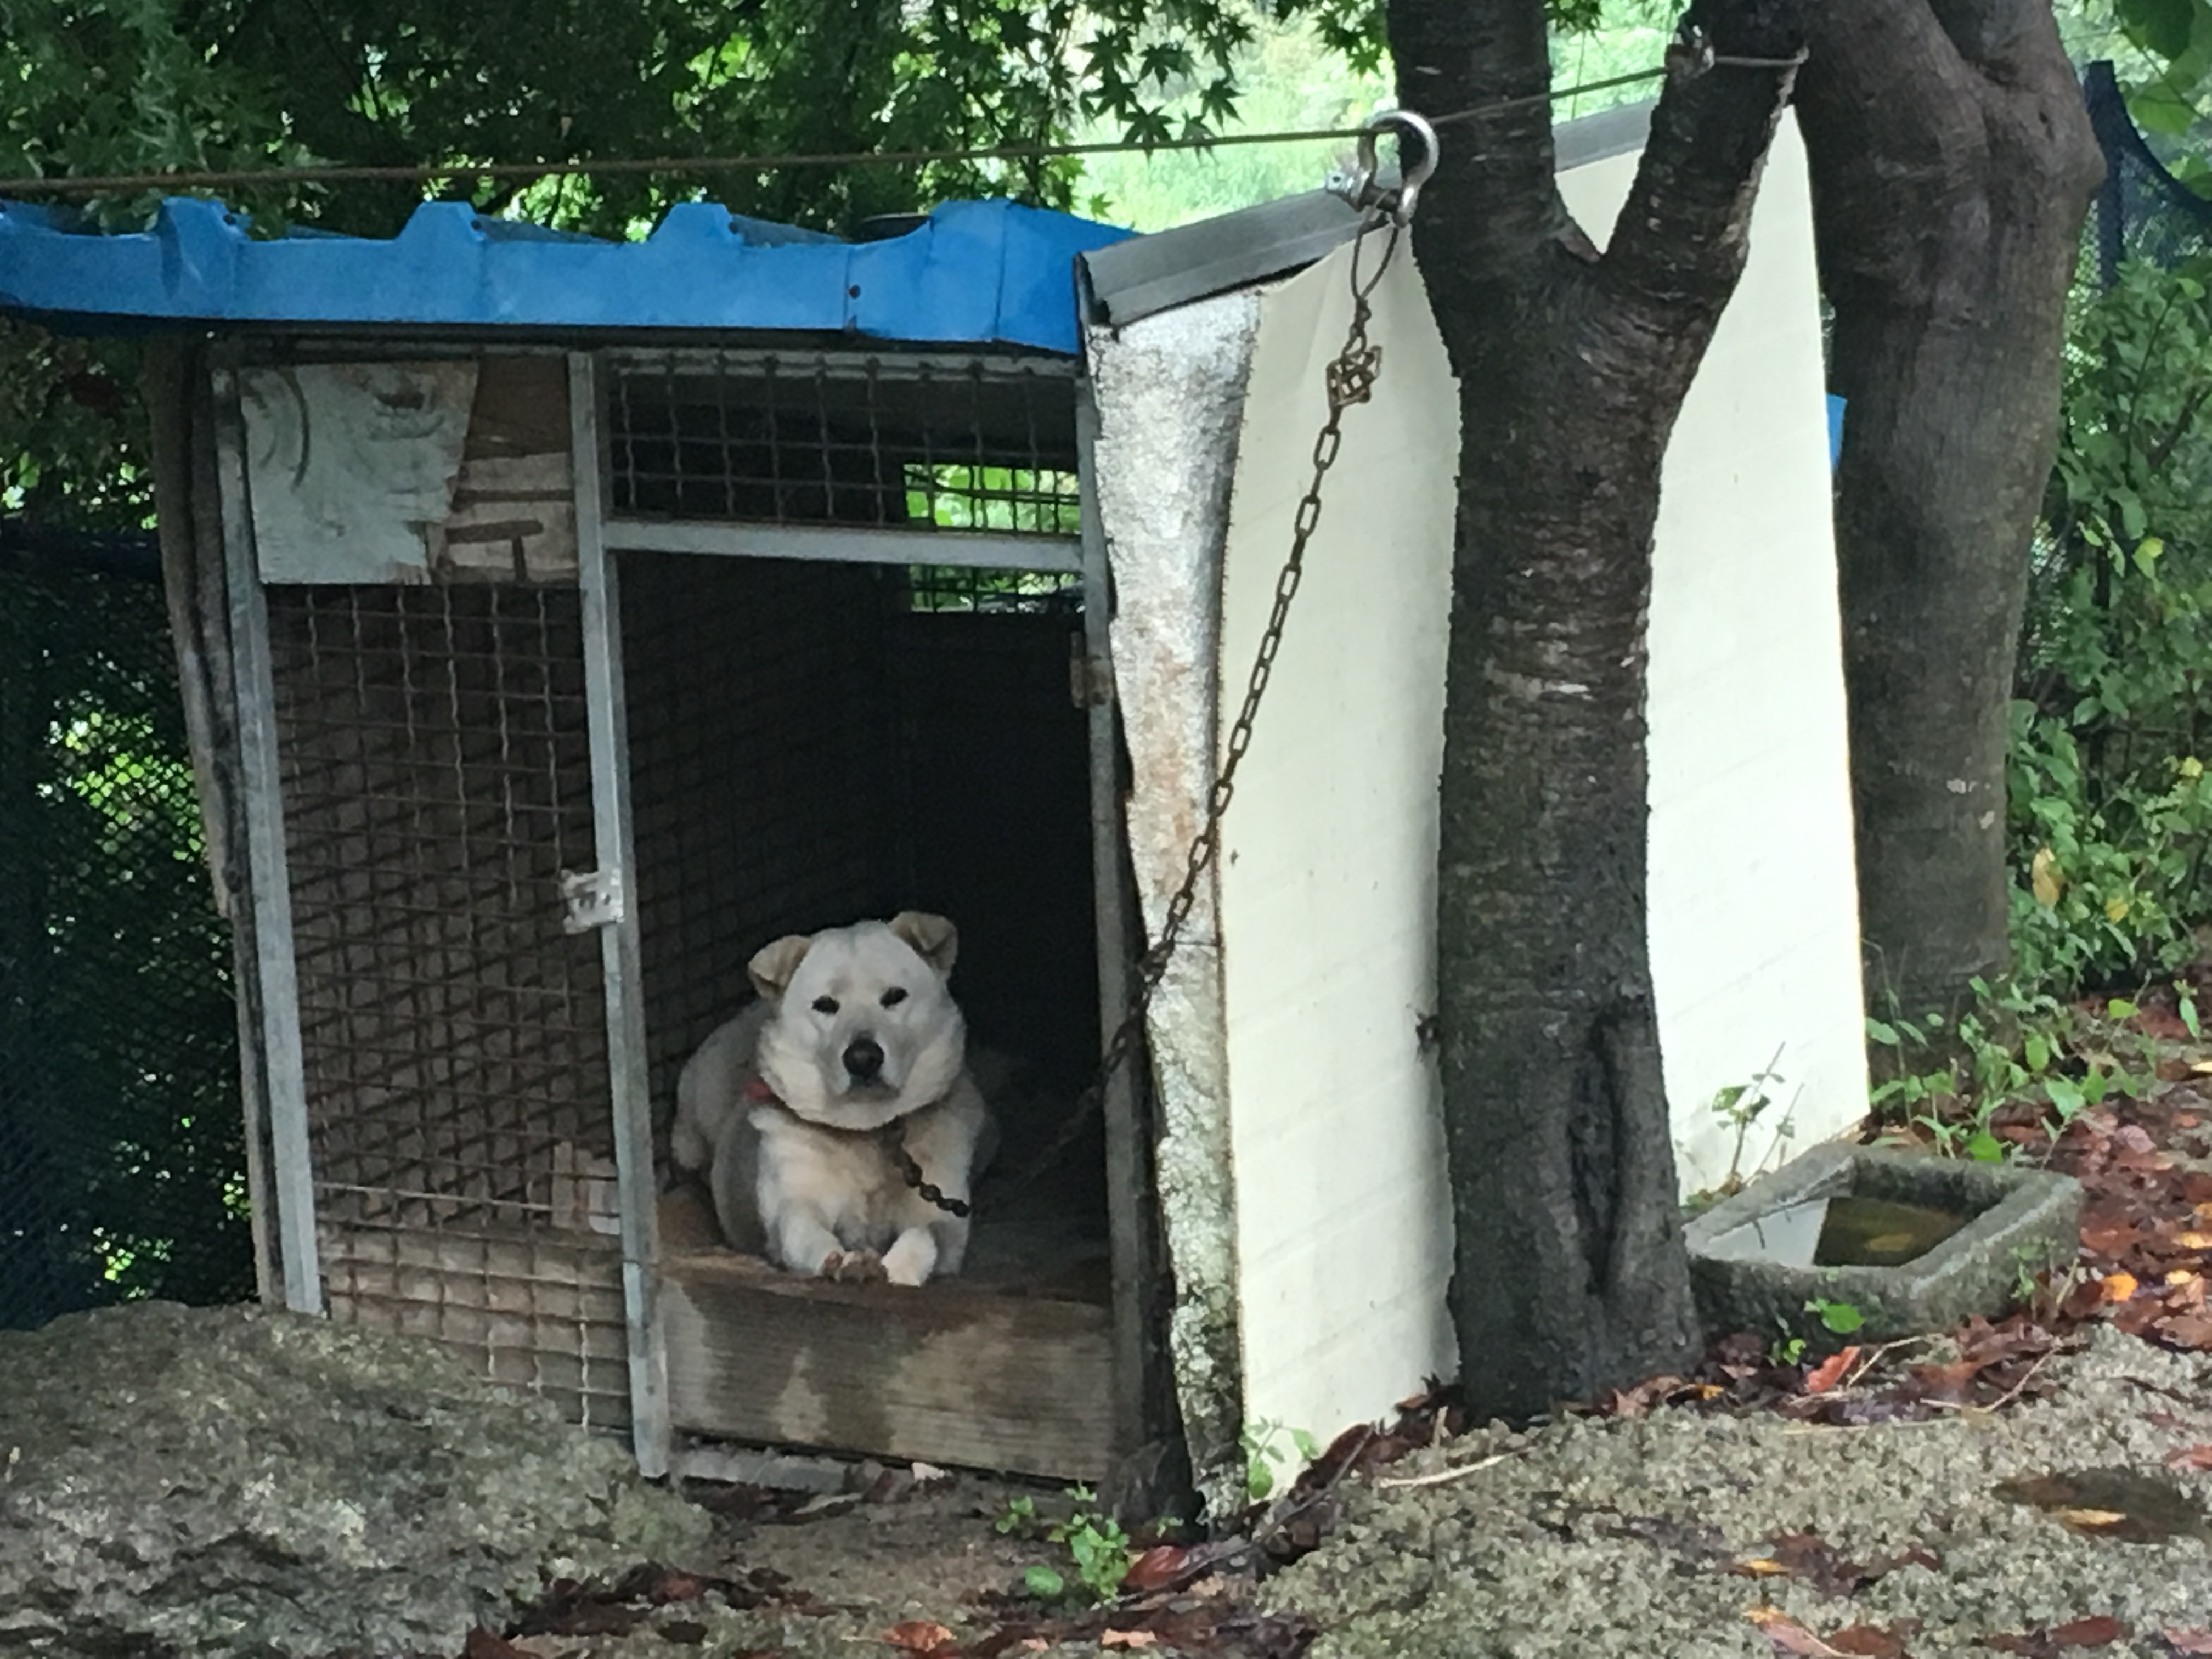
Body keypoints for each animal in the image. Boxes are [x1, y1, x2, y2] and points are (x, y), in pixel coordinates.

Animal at [670, 911, 995, 1286]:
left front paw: (900, 1268)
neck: (870, 1131)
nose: (863, 1058)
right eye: (825, 1005)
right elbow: (806, 1232)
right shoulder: (796, 1199)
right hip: (696, 1117)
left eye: (894, 996)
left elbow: (924, 1235)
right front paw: (845, 1262)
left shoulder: (945, 1215)